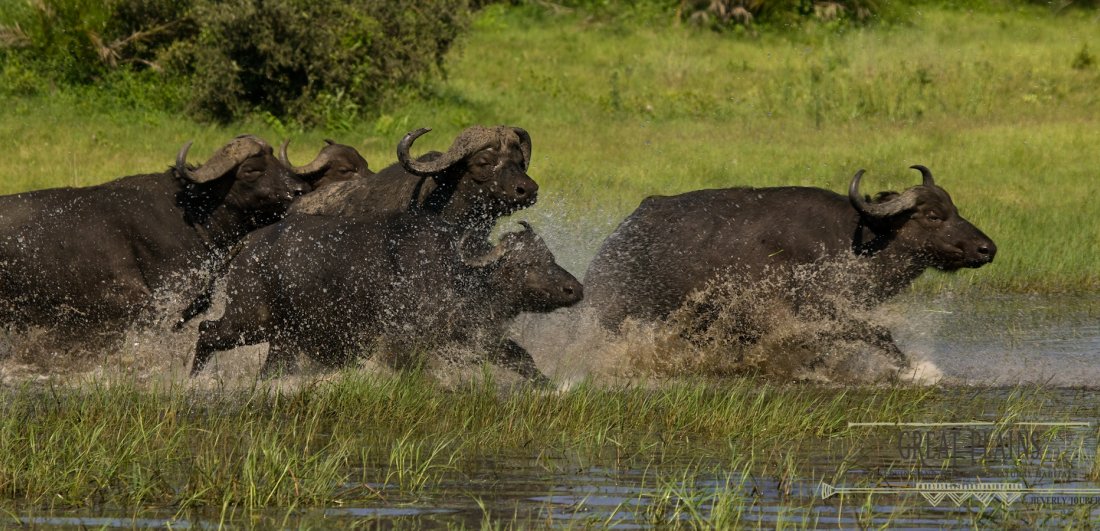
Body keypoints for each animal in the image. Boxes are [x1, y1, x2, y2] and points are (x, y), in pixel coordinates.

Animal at [189, 216, 585, 386]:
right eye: (524, 265)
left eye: (548, 256)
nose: (574, 289)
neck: (461, 278)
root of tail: (248, 244)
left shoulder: (479, 337)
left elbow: (522, 357)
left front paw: (549, 385)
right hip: (249, 319)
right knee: (206, 331)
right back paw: (192, 379)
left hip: (280, 338)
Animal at [585, 163, 998, 358]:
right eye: (933, 216)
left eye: (954, 209)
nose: (987, 249)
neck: (859, 242)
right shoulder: (816, 314)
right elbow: (881, 335)